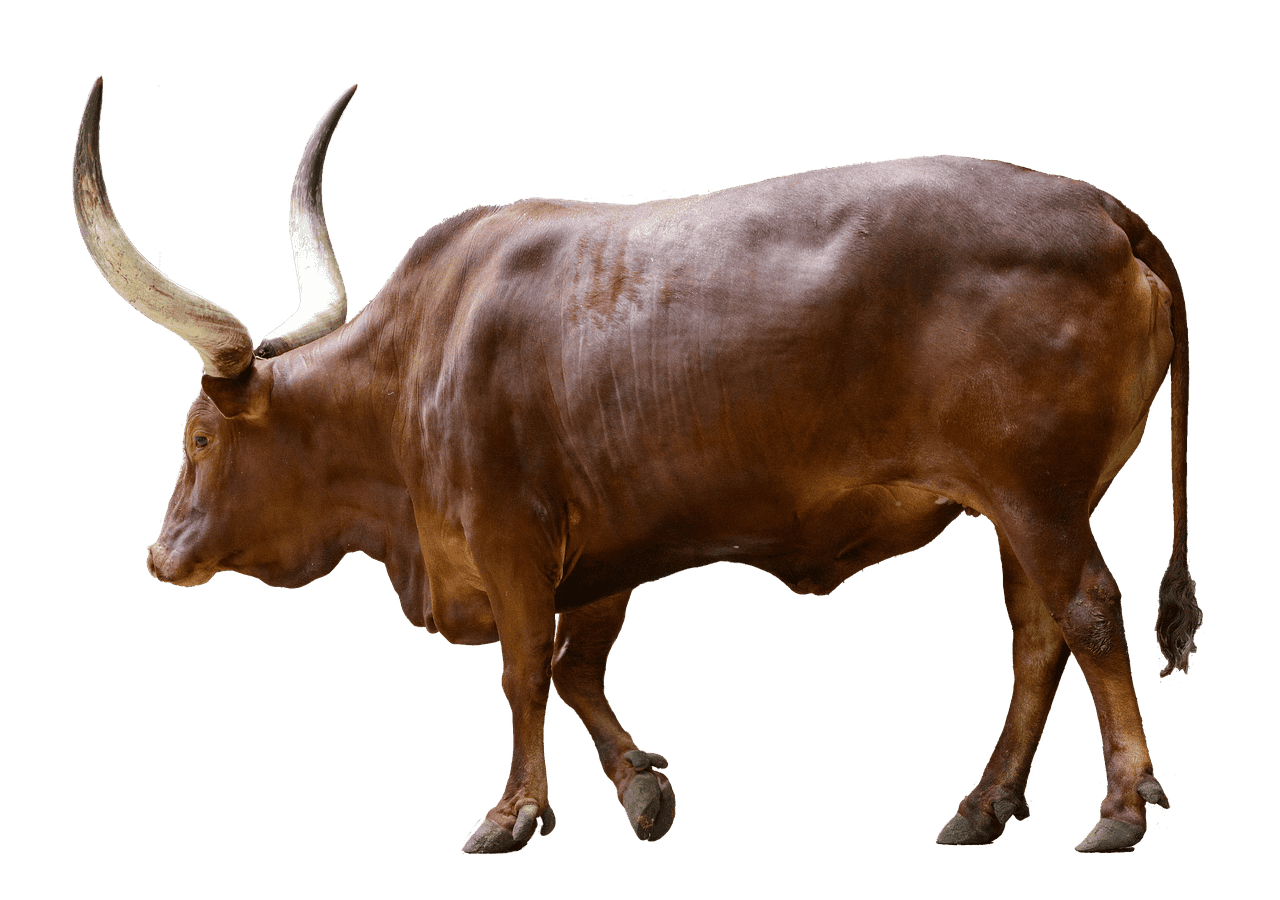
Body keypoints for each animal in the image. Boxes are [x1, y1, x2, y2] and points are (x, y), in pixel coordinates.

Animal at [72, 76, 1202, 855]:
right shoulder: (601, 550)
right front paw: (640, 787)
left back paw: (1118, 806)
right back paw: (982, 803)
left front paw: (514, 813)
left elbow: (524, 670)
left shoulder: (512, 538)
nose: (159, 555)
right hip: (1024, 503)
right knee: (1035, 635)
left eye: (199, 438)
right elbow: (578, 667)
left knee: (1088, 610)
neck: (421, 357)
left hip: (1036, 494)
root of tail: (1095, 205)